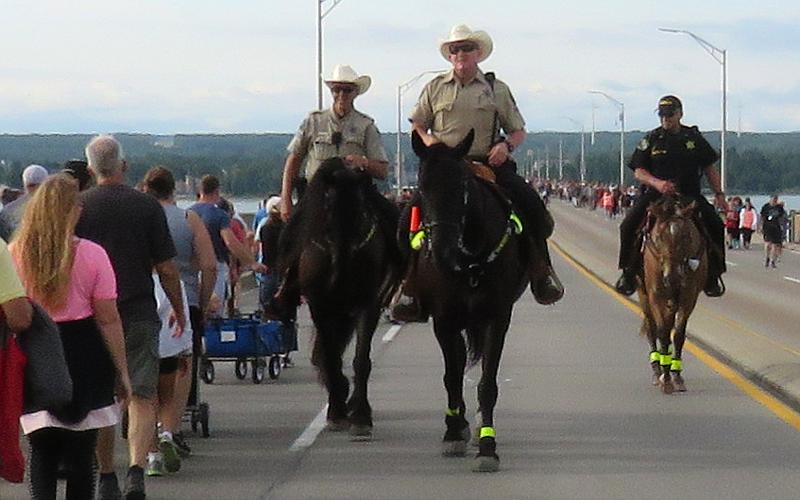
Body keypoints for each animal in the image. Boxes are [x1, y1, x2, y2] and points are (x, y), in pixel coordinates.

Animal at [406, 130, 532, 472]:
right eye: (422, 187)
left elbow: (487, 384)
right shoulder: (444, 320)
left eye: (461, 187)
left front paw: (488, 446)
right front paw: (452, 432)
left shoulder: (497, 318)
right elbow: (452, 376)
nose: (441, 252)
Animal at [636, 195, 708, 394]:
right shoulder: (656, 296)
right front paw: (665, 379)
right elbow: (662, 333)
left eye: (686, 236)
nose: (672, 277)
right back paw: (657, 369)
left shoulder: (688, 297)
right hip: (644, 295)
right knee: (652, 328)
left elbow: (678, 335)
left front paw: (675, 375)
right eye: (659, 237)